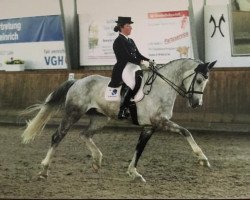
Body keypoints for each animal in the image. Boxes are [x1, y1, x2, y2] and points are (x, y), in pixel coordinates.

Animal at [21, 58, 216, 183]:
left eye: (206, 81)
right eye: (199, 80)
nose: (196, 104)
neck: (161, 87)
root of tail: (77, 82)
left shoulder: (149, 126)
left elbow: (139, 149)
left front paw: (133, 173)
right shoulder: (160, 121)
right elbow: (185, 131)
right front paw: (203, 158)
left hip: (100, 119)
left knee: (85, 134)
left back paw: (97, 161)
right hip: (73, 113)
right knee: (57, 137)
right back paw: (44, 170)